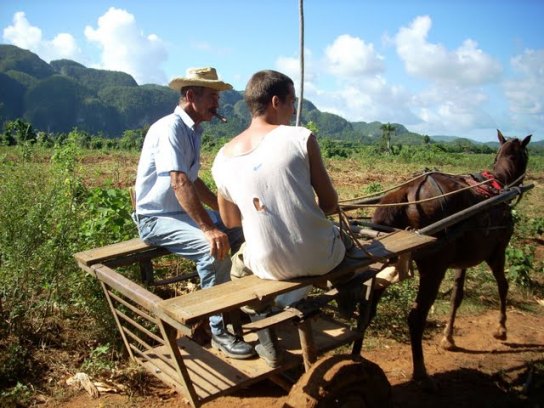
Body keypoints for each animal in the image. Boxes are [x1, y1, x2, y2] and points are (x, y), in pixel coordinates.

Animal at [370, 131, 532, 382]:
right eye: (526, 155)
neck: (497, 184)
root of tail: (408, 191)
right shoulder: (497, 251)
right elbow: (503, 285)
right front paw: (501, 329)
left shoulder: (461, 260)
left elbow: (457, 295)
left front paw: (448, 337)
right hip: (434, 267)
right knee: (416, 318)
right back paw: (421, 373)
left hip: (388, 256)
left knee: (370, 302)